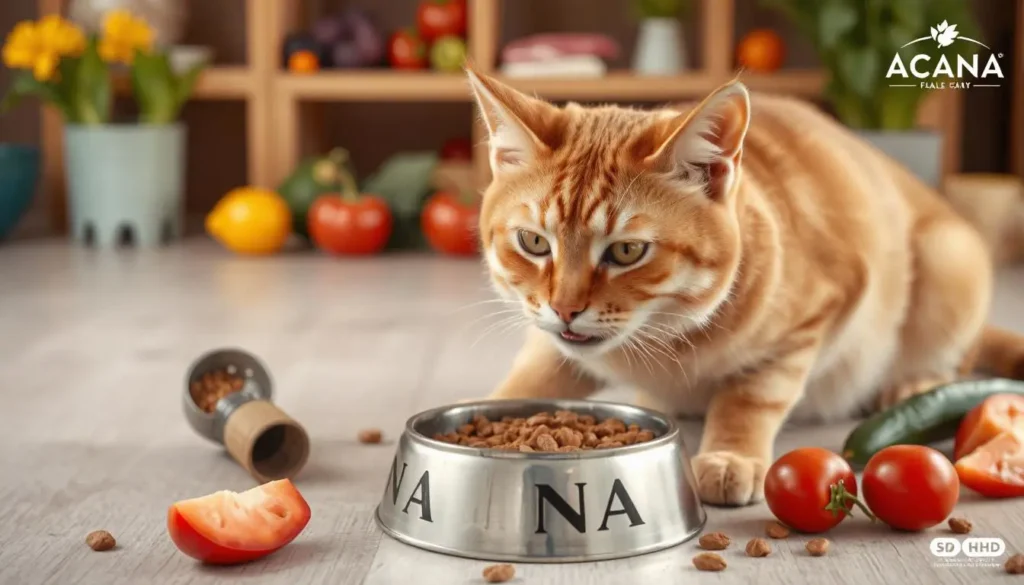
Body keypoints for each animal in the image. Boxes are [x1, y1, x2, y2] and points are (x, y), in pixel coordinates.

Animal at [466, 65, 1024, 508]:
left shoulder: (818, 316)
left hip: (948, 262)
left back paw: (914, 385)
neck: (661, 347)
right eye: (534, 242)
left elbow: (752, 395)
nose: (565, 309)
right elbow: (528, 381)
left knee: (957, 357)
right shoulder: (551, 344)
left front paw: (729, 455)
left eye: (626, 252)